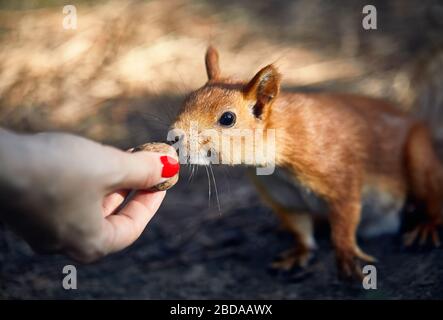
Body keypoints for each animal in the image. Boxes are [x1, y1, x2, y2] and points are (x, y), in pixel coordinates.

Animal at [169, 46, 443, 278]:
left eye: (227, 118)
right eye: (187, 99)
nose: (173, 137)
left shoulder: (338, 172)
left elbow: (345, 215)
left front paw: (347, 255)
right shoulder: (283, 195)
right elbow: (299, 227)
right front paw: (299, 253)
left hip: (418, 155)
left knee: (432, 195)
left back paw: (426, 228)